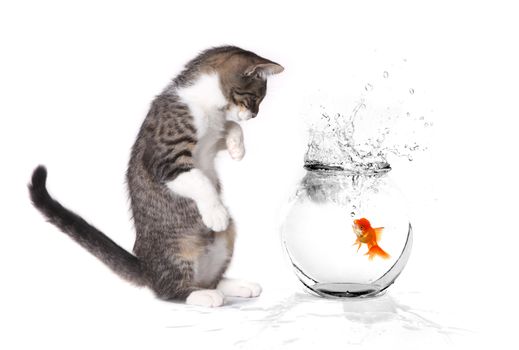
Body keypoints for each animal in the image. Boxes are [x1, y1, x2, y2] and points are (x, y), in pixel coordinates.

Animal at [28, 45, 284, 306]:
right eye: (254, 98)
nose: (254, 115)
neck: (206, 105)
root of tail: (147, 269)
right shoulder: (167, 161)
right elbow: (200, 181)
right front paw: (216, 213)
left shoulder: (212, 136)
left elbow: (230, 126)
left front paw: (236, 146)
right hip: (177, 250)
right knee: (169, 289)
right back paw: (202, 295)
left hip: (226, 239)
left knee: (212, 279)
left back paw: (235, 286)